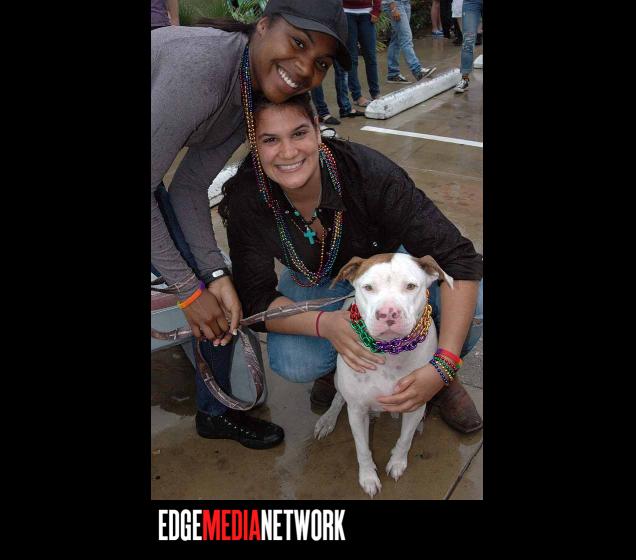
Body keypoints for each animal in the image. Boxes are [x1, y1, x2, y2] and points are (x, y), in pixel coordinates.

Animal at [314, 253, 454, 497]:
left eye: (410, 286)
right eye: (368, 287)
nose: (388, 313)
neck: (390, 353)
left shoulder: (416, 399)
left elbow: (405, 439)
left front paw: (397, 462)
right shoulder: (357, 411)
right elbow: (362, 448)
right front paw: (368, 477)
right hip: (340, 382)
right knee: (339, 398)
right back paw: (328, 419)